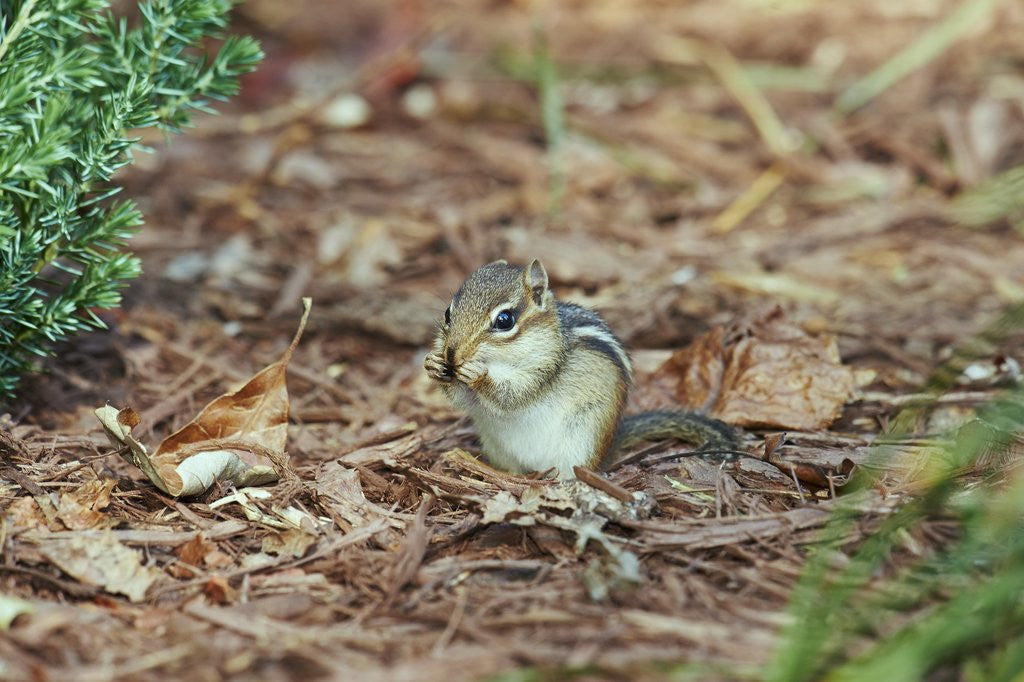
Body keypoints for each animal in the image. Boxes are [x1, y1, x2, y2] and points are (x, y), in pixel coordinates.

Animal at [423, 259, 741, 480]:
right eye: (448, 313)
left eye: (504, 320)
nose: (451, 353)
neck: (503, 362)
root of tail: (607, 450)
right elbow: (464, 400)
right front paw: (434, 364)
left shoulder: (544, 369)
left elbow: (512, 396)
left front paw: (479, 376)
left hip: (581, 440)